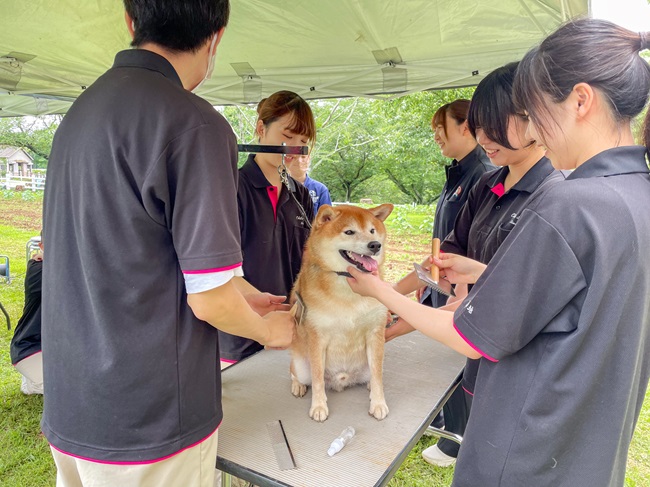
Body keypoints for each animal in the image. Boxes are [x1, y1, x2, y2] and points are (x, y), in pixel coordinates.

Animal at [290, 204, 392, 422]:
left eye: (372, 230)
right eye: (349, 232)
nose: (375, 245)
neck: (347, 290)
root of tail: (342, 380)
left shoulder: (375, 333)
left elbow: (378, 375)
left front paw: (378, 403)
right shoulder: (317, 337)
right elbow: (318, 379)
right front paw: (319, 406)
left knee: (373, 373)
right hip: (301, 366)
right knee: (295, 373)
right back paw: (298, 385)